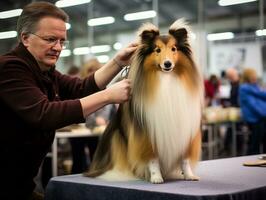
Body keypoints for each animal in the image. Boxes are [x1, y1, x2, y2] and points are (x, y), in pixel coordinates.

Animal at [85, 18, 204, 183]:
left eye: (173, 49)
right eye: (157, 50)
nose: (167, 64)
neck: (166, 79)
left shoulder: (185, 132)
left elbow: (184, 160)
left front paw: (189, 175)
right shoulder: (146, 134)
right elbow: (152, 159)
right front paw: (156, 178)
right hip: (116, 137)